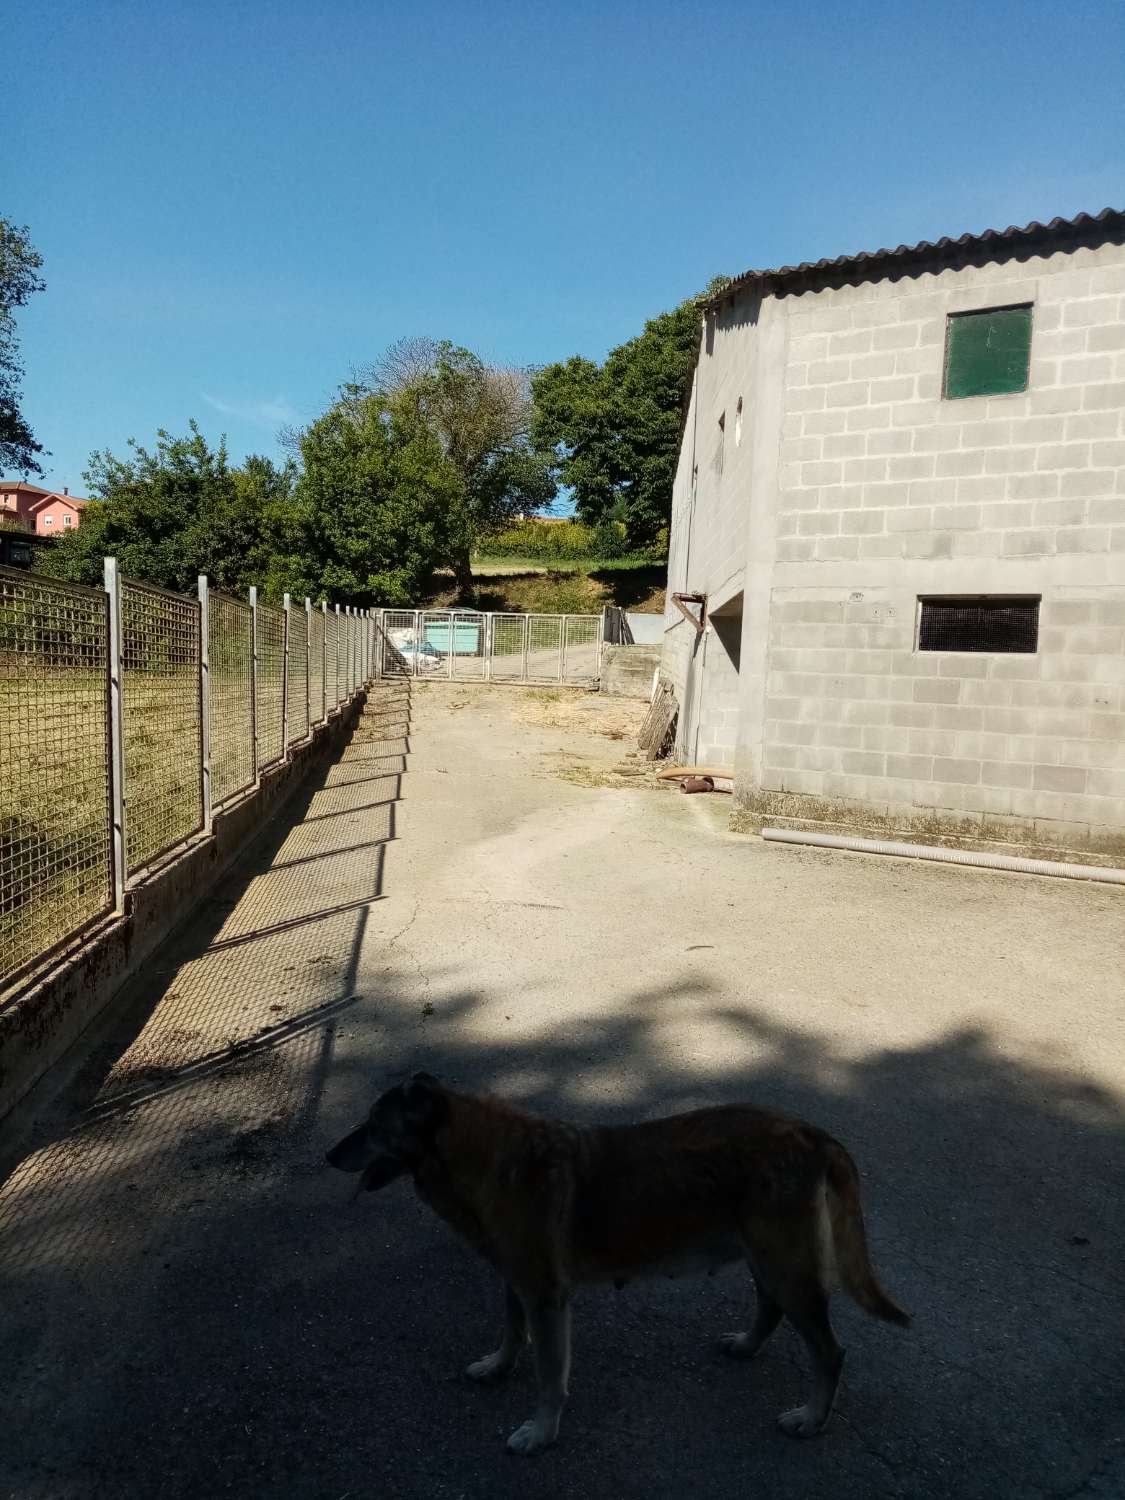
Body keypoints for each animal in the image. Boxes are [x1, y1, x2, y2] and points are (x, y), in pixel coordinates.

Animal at [325, 1074, 906, 1458]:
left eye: (373, 1126)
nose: (329, 1157)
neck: (483, 1159)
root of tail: (814, 1134)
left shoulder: (546, 1299)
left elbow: (549, 1377)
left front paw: (542, 1431)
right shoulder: (516, 1284)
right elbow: (512, 1333)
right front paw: (498, 1367)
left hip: (786, 1265)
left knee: (828, 1352)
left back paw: (811, 1418)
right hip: (765, 1259)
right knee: (770, 1309)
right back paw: (746, 1346)